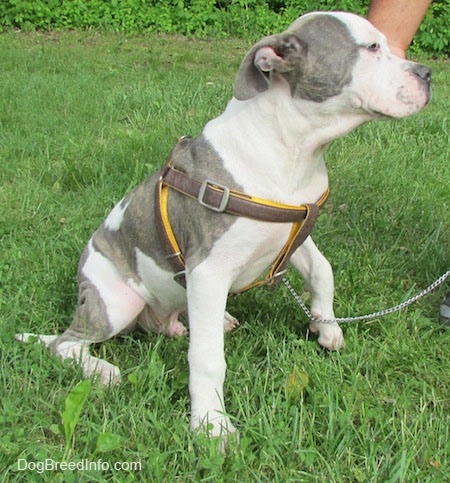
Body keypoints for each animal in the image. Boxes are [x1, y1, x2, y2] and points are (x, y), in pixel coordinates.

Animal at [17, 12, 430, 438]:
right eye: (371, 48)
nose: (427, 73)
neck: (292, 148)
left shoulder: (294, 231)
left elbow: (322, 270)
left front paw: (326, 325)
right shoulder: (208, 269)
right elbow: (207, 357)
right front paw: (210, 426)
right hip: (116, 301)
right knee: (64, 343)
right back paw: (101, 370)